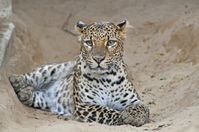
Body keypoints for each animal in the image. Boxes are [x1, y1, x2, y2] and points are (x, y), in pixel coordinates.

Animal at [8, 20, 149, 126]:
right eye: (89, 43)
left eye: (110, 42)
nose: (98, 59)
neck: (107, 78)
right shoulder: (85, 105)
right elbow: (107, 111)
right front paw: (122, 116)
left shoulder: (134, 100)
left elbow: (143, 107)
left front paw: (134, 116)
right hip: (56, 68)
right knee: (36, 74)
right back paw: (17, 81)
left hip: (47, 100)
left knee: (38, 97)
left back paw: (26, 93)